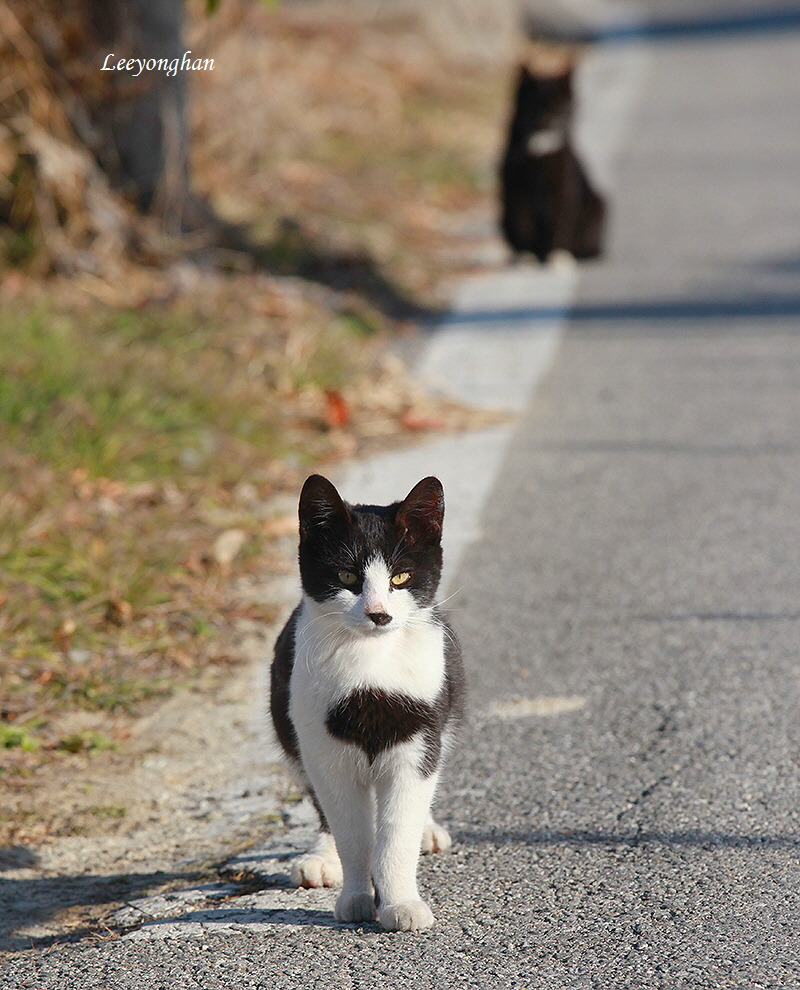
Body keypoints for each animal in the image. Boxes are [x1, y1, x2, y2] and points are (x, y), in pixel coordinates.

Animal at [272, 476, 466, 932]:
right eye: (346, 575)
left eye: (401, 576)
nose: (378, 614)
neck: (372, 662)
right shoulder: (324, 747)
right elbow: (352, 833)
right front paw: (357, 899)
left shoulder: (420, 736)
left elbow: (397, 831)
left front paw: (401, 903)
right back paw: (320, 859)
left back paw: (428, 830)